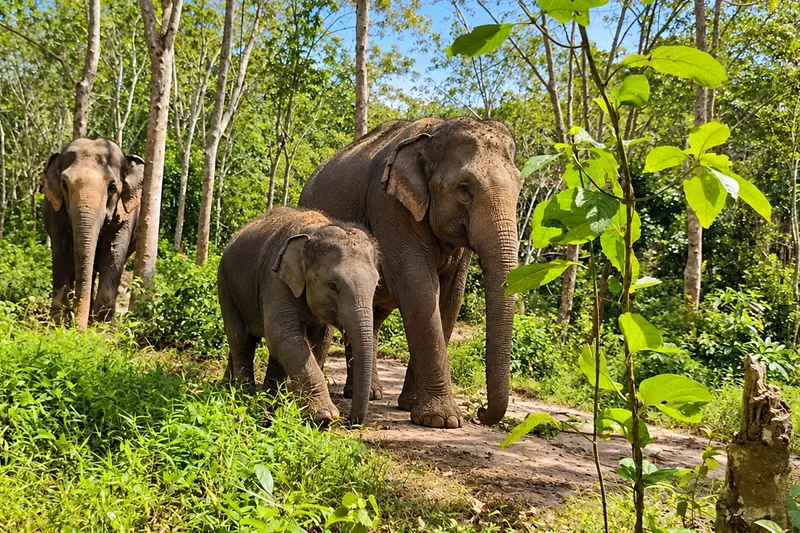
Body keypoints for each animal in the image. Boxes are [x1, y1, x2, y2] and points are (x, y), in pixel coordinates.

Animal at [42, 138, 145, 329]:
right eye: (64, 185)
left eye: (112, 187)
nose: (79, 330)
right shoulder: (55, 209)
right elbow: (61, 252)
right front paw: (57, 322)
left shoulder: (126, 215)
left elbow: (114, 254)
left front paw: (104, 327)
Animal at [217, 207, 380, 424]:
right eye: (333, 286)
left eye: (376, 285)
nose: (350, 421)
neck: (316, 230)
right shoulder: (275, 279)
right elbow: (284, 335)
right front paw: (324, 416)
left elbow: (320, 341)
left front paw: (298, 407)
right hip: (225, 284)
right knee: (242, 340)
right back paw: (245, 396)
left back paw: (250, 395)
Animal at [299, 117, 521, 429]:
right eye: (464, 188)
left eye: (520, 190)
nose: (480, 412)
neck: (434, 133)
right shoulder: (390, 207)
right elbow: (419, 290)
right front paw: (441, 420)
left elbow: (450, 300)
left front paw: (413, 407)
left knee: (372, 317)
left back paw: (370, 393)